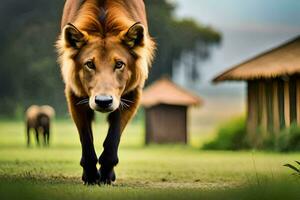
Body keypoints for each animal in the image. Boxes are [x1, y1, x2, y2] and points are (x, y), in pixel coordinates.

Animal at [56, 0, 156, 184]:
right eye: (89, 64)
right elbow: (86, 139)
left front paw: (106, 175)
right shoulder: (75, 95)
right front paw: (90, 176)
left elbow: (113, 138)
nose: (103, 101)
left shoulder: (131, 95)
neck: (103, 22)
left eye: (119, 64)